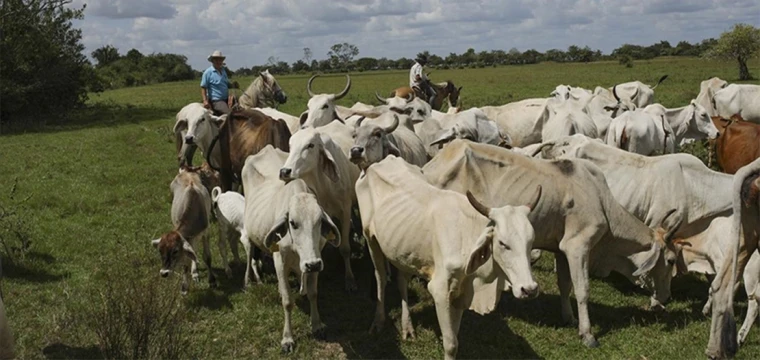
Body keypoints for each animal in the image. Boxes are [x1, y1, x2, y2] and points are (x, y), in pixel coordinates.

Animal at [242, 146, 340, 352]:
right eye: (293, 223)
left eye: (319, 221)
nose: (312, 264)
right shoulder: (280, 261)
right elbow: (287, 301)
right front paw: (287, 338)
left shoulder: (316, 258)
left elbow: (313, 293)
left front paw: (317, 325)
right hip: (249, 229)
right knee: (249, 251)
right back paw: (247, 281)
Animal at [280, 128, 360, 292]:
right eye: (290, 146)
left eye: (310, 145)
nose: (285, 171)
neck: (324, 185)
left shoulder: (345, 210)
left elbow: (345, 248)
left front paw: (350, 279)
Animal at [358, 156, 540, 360]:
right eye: (502, 243)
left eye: (531, 241)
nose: (529, 289)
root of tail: (378, 162)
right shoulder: (440, 290)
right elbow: (451, 343)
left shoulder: (461, 292)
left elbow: (455, 336)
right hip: (370, 237)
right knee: (380, 277)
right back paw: (378, 322)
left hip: (402, 250)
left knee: (402, 280)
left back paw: (407, 327)